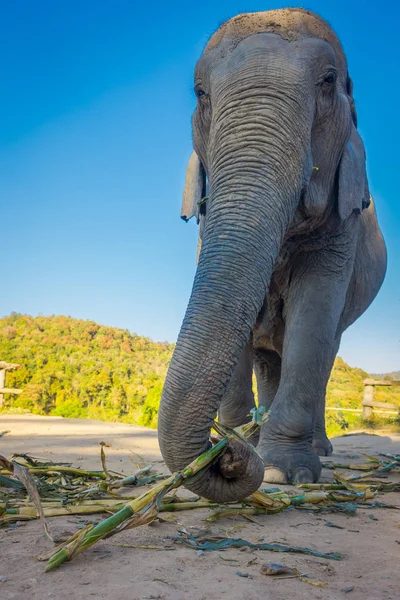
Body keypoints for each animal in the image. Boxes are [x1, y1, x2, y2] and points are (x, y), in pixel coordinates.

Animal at [158, 7, 386, 502]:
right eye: (201, 92)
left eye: (328, 81)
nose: (225, 454)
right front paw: (242, 443)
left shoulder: (342, 226)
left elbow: (314, 313)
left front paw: (283, 472)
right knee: (267, 359)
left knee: (326, 348)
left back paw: (315, 450)